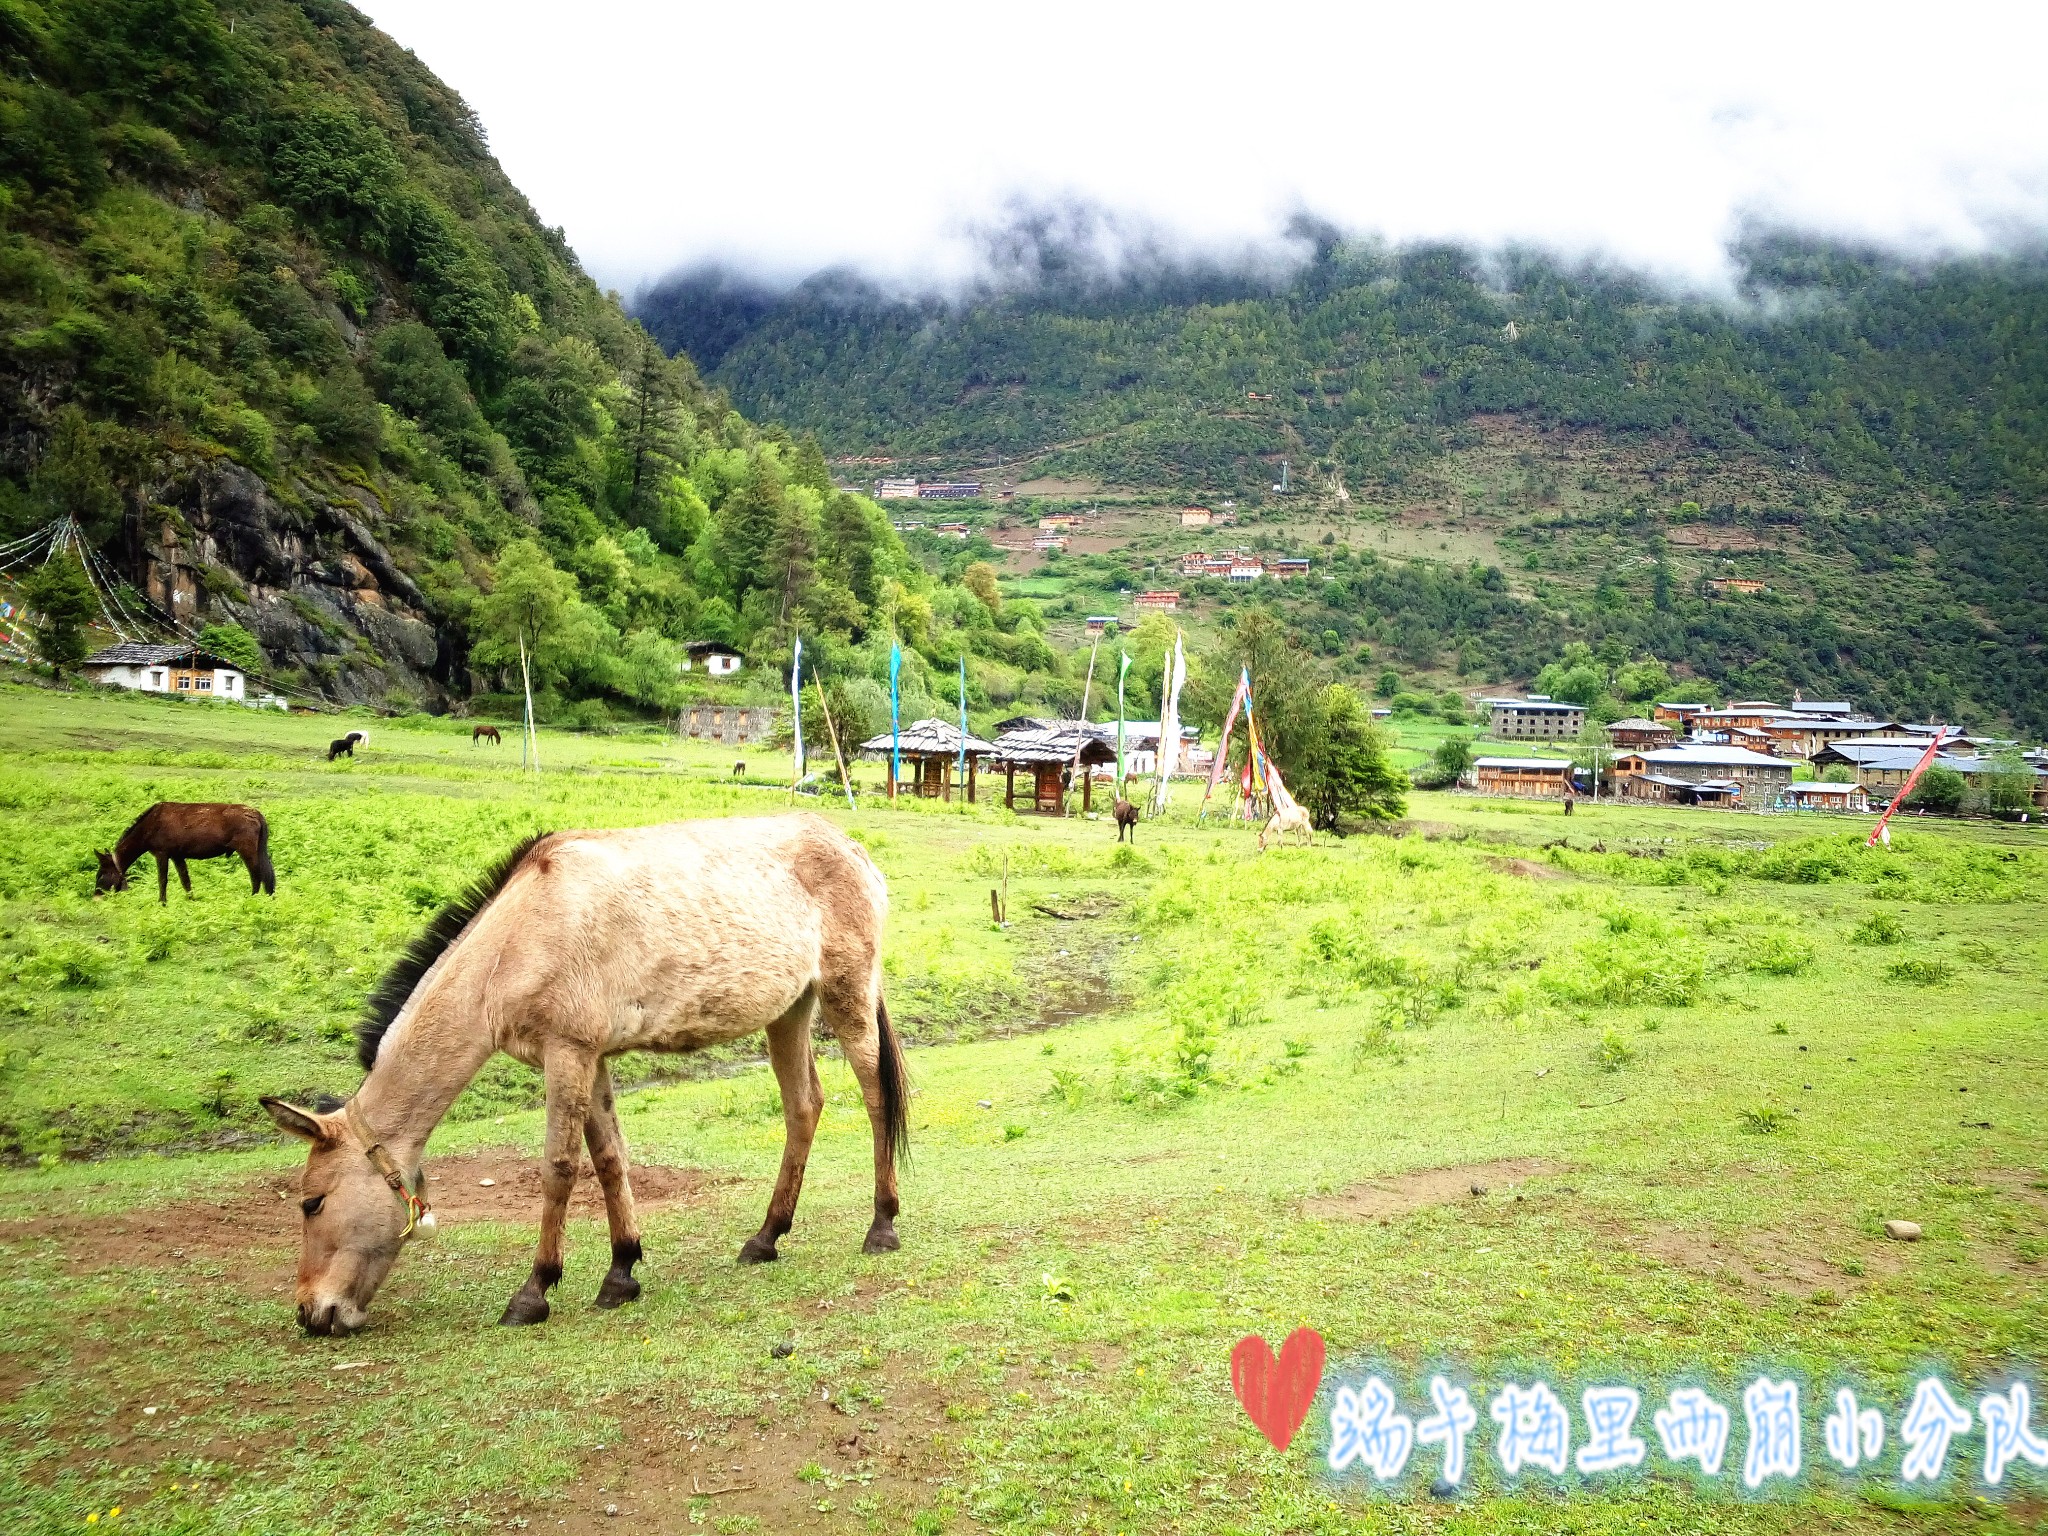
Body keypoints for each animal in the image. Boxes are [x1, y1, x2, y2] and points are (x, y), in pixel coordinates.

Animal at [98, 806, 276, 901]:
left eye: (100, 875)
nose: (96, 896)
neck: (148, 827)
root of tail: (257, 814)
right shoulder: (177, 855)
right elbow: (185, 881)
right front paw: (191, 899)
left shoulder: (162, 853)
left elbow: (162, 880)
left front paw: (162, 902)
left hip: (246, 849)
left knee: (256, 875)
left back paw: (253, 897)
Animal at [262, 819, 913, 1335]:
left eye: (313, 1204)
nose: (311, 1313)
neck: (517, 939)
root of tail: (853, 848)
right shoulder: (592, 1058)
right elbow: (609, 1160)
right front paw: (622, 1271)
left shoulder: (567, 1053)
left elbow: (559, 1168)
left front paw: (534, 1292)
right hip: (790, 1011)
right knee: (804, 1106)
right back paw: (766, 1237)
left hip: (846, 994)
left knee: (875, 1097)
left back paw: (882, 1226)